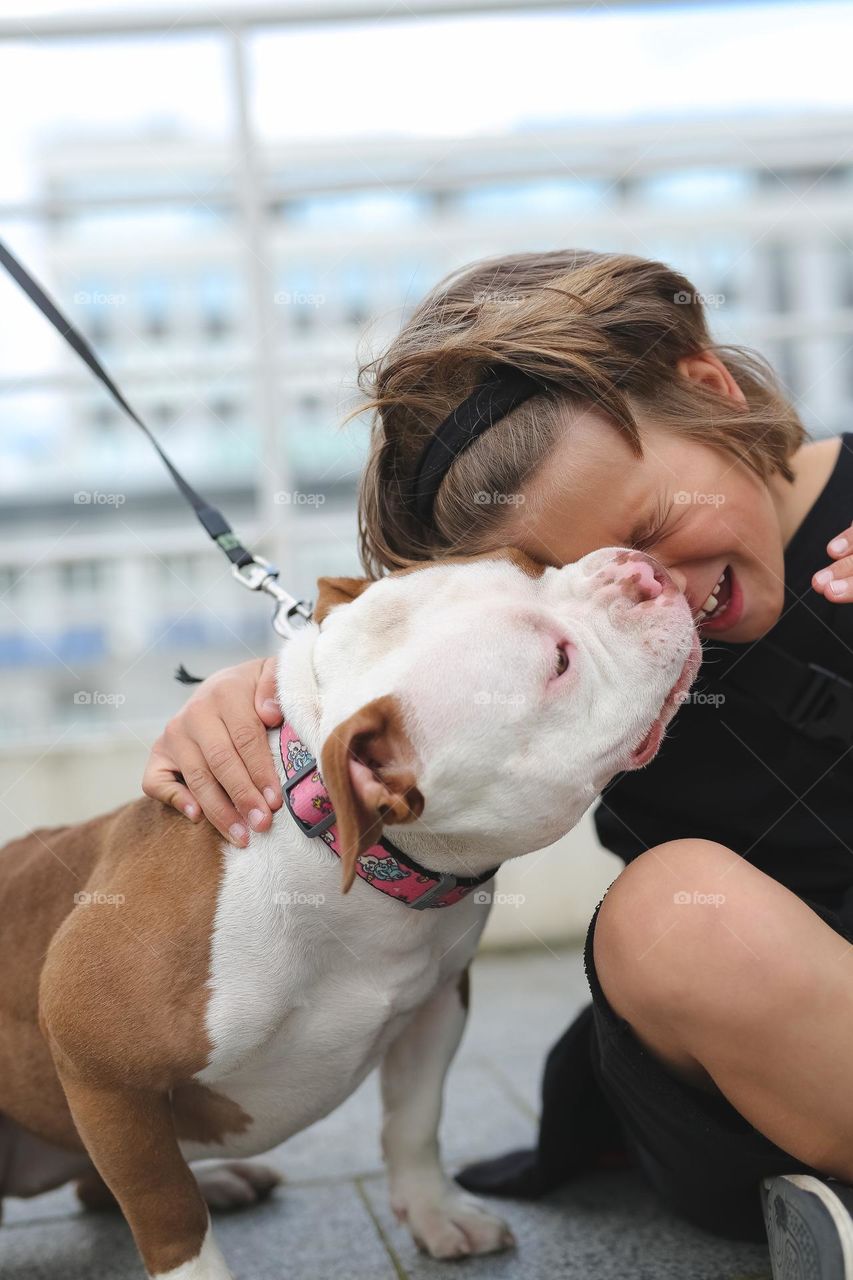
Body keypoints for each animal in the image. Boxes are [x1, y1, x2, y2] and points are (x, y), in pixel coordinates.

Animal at [0, 547, 696, 1280]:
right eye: (559, 662)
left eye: (533, 560)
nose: (641, 570)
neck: (336, 847)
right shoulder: (95, 1062)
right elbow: (166, 1208)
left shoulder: (437, 1001)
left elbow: (415, 1119)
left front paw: (436, 1215)